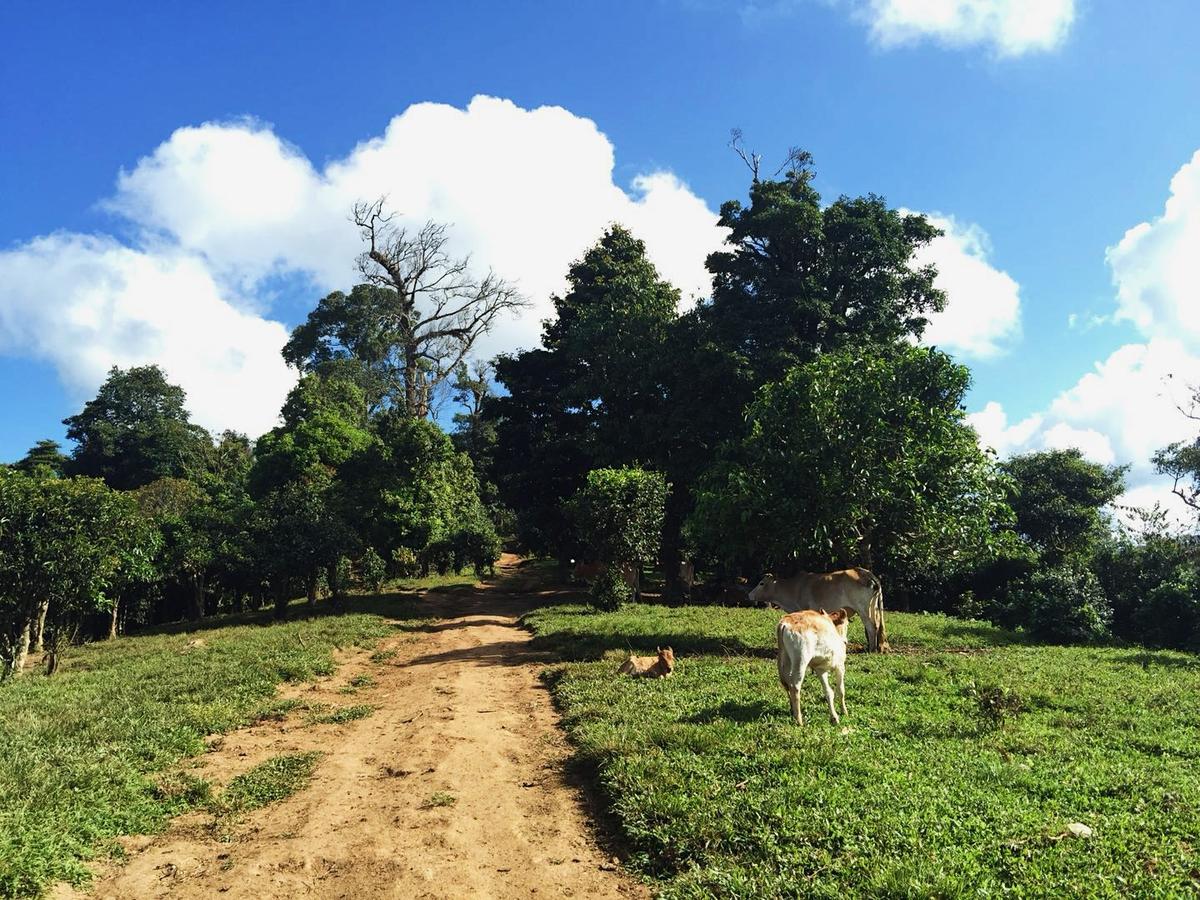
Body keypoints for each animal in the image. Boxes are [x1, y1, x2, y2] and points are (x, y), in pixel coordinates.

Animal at [748, 571, 892, 657]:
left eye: (761, 583)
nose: (749, 594)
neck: (794, 588)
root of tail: (867, 574)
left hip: (864, 610)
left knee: (871, 627)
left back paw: (871, 649)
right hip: (873, 609)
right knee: (877, 626)